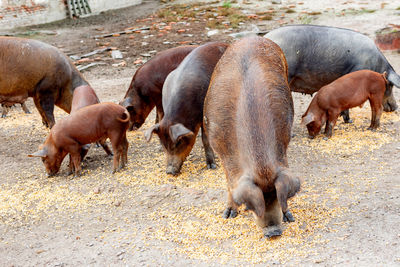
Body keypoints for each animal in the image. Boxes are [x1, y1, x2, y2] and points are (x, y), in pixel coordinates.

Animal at [145, 41, 228, 176]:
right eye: (164, 145)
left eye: (178, 142)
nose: (169, 171)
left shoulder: (203, 113)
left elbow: (205, 138)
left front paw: (212, 166)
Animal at [203, 36, 300, 240]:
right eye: (252, 205)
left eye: (276, 197)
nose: (273, 232)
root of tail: (252, 37)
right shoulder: (220, 149)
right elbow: (230, 182)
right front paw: (228, 215)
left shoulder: (282, 144)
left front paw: (289, 217)